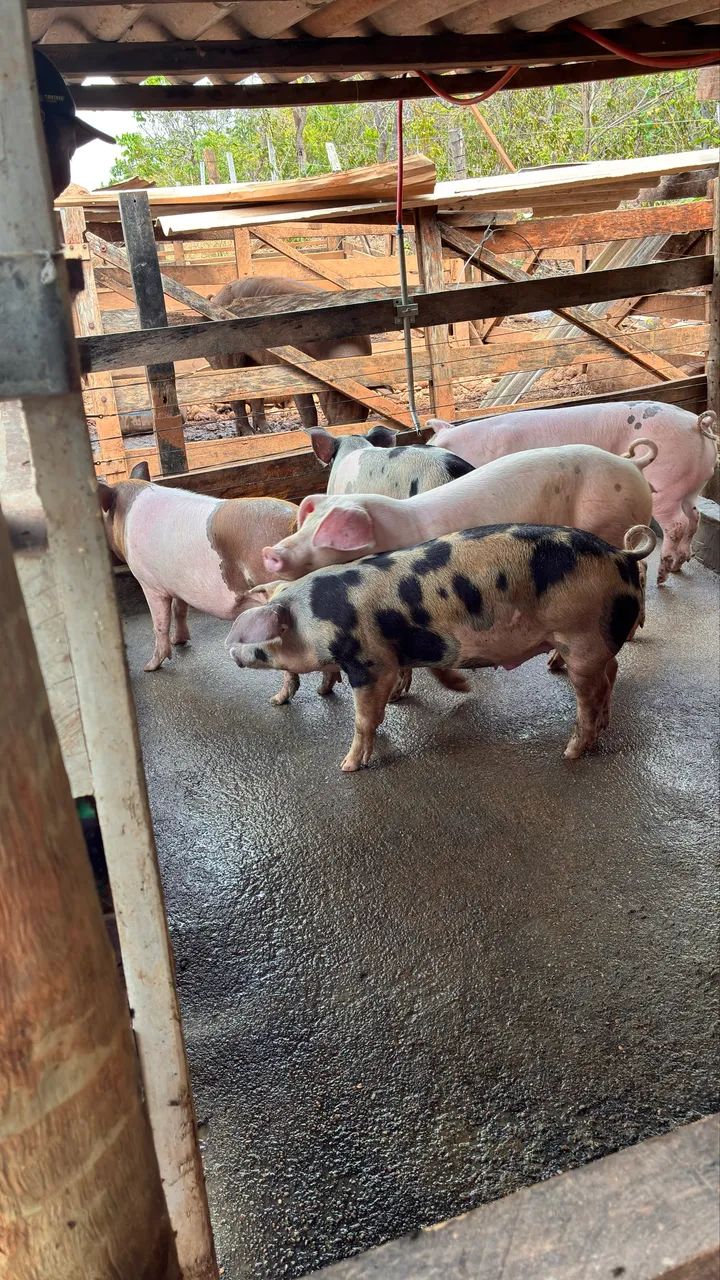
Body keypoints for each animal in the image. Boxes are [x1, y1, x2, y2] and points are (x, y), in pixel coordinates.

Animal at [209, 276, 372, 435]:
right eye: (337, 397)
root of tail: (217, 297)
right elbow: (308, 410)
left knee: (257, 396)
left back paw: (266, 431)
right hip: (228, 357)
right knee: (236, 398)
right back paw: (249, 433)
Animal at [227, 522, 656, 771]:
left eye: (255, 641)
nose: (229, 651)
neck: (315, 615)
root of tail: (622, 554)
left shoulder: (369, 662)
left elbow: (364, 718)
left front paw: (348, 766)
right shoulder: (416, 647)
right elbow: (426, 672)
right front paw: (444, 690)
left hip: (580, 638)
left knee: (592, 691)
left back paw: (570, 753)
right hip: (595, 642)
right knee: (612, 672)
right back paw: (601, 727)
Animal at [427, 401, 718, 583]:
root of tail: (697, 424)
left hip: (667, 483)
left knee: (676, 524)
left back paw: (663, 575)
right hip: (692, 485)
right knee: (694, 517)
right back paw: (680, 564)